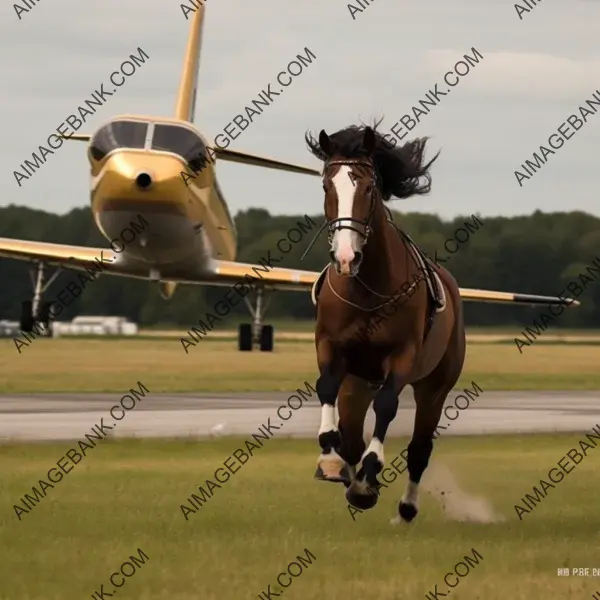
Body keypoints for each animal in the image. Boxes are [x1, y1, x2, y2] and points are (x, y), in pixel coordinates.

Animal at [308, 124, 466, 524]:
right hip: (357, 383)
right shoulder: (331, 348)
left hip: (435, 386)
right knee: (351, 431)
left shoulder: (402, 356)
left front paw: (370, 472)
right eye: (326, 186)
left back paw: (403, 506)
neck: (368, 289)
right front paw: (331, 461)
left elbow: (388, 406)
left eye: (368, 188)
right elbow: (326, 388)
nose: (346, 257)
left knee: (419, 448)